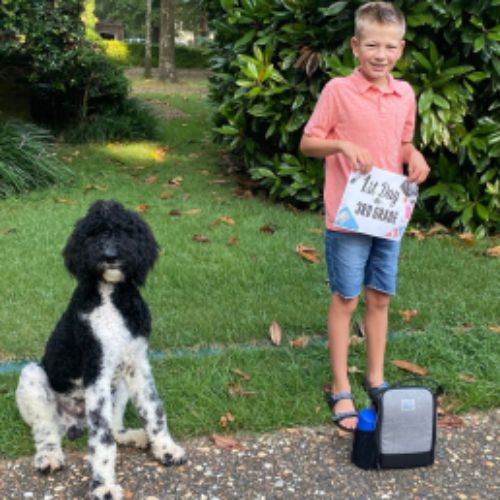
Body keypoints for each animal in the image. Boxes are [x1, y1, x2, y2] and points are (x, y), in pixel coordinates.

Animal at [17, 200, 188, 500]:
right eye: (92, 234)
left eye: (125, 231)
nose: (109, 256)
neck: (110, 297)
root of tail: (74, 422)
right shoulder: (96, 369)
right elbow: (103, 440)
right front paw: (104, 485)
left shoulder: (137, 363)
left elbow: (153, 409)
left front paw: (166, 450)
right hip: (33, 377)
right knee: (46, 430)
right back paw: (49, 456)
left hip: (118, 386)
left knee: (115, 427)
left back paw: (132, 435)